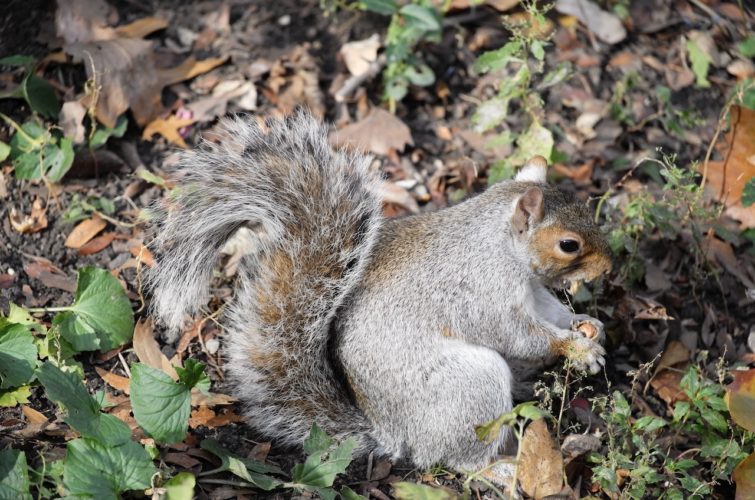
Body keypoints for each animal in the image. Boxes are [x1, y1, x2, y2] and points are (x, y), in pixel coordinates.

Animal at [148, 111, 612, 471]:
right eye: (568, 244)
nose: (608, 266)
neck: (500, 245)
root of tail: (391, 434)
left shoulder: (532, 291)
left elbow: (552, 312)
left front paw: (587, 326)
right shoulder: (483, 293)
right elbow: (519, 335)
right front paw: (577, 348)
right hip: (469, 387)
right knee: (461, 460)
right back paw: (498, 470)